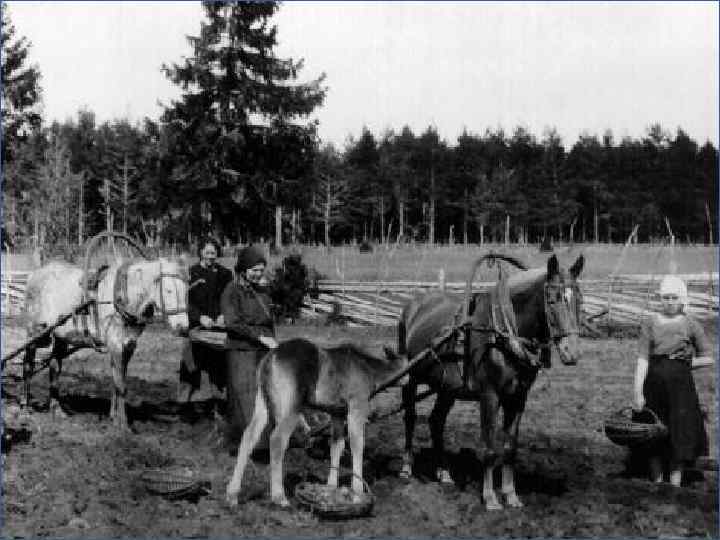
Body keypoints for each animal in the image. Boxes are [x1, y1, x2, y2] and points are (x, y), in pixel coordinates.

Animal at [23, 258, 188, 430]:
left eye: (186, 291)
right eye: (168, 291)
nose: (183, 328)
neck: (122, 299)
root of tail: (34, 274)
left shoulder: (128, 345)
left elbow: (117, 381)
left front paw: (114, 418)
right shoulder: (116, 345)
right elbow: (121, 385)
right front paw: (123, 425)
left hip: (60, 336)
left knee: (54, 367)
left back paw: (56, 409)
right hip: (34, 332)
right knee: (28, 364)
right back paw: (26, 406)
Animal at [400, 252, 584, 510]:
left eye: (579, 299)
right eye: (552, 299)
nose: (571, 351)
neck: (503, 334)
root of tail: (414, 305)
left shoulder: (518, 398)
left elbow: (509, 448)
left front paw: (511, 495)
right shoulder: (490, 396)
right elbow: (488, 447)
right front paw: (490, 498)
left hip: (447, 387)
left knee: (437, 421)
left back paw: (443, 472)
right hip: (412, 377)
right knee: (410, 414)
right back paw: (406, 467)